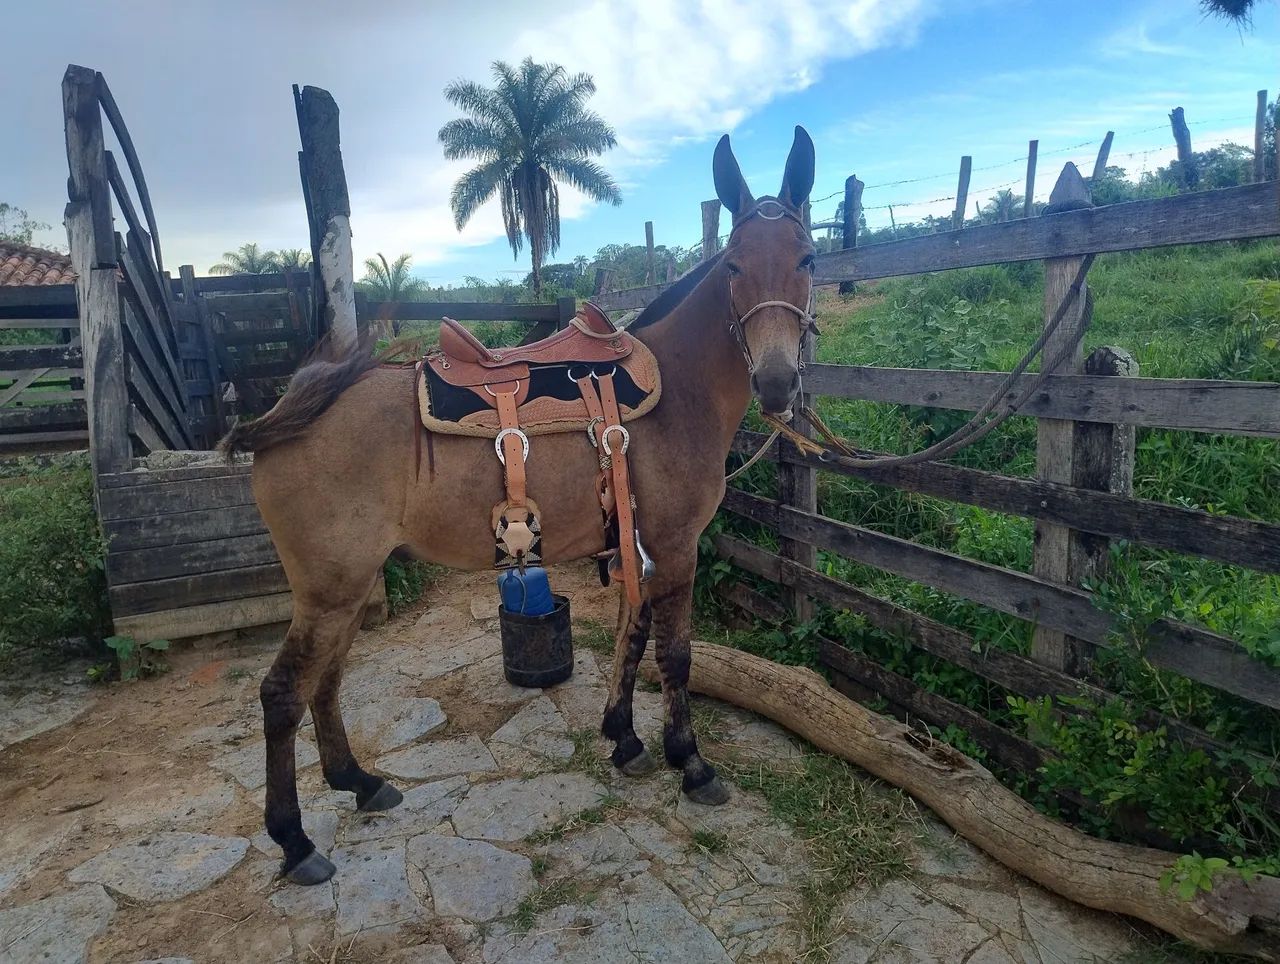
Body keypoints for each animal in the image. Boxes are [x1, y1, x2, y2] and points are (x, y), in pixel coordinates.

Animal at [221, 127, 818, 884]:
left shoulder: (637, 542)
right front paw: (690, 762)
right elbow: (676, 655)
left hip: (347, 588)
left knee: (324, 682)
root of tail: (283, 415)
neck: (676, 389)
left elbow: (632, 636)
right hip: (330, 590)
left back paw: (358, 781)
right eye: (736, 265)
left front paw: (624, 738)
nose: (776, 381)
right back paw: (294, 841)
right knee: (281, 694)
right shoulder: (677, 545)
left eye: (807, 258)